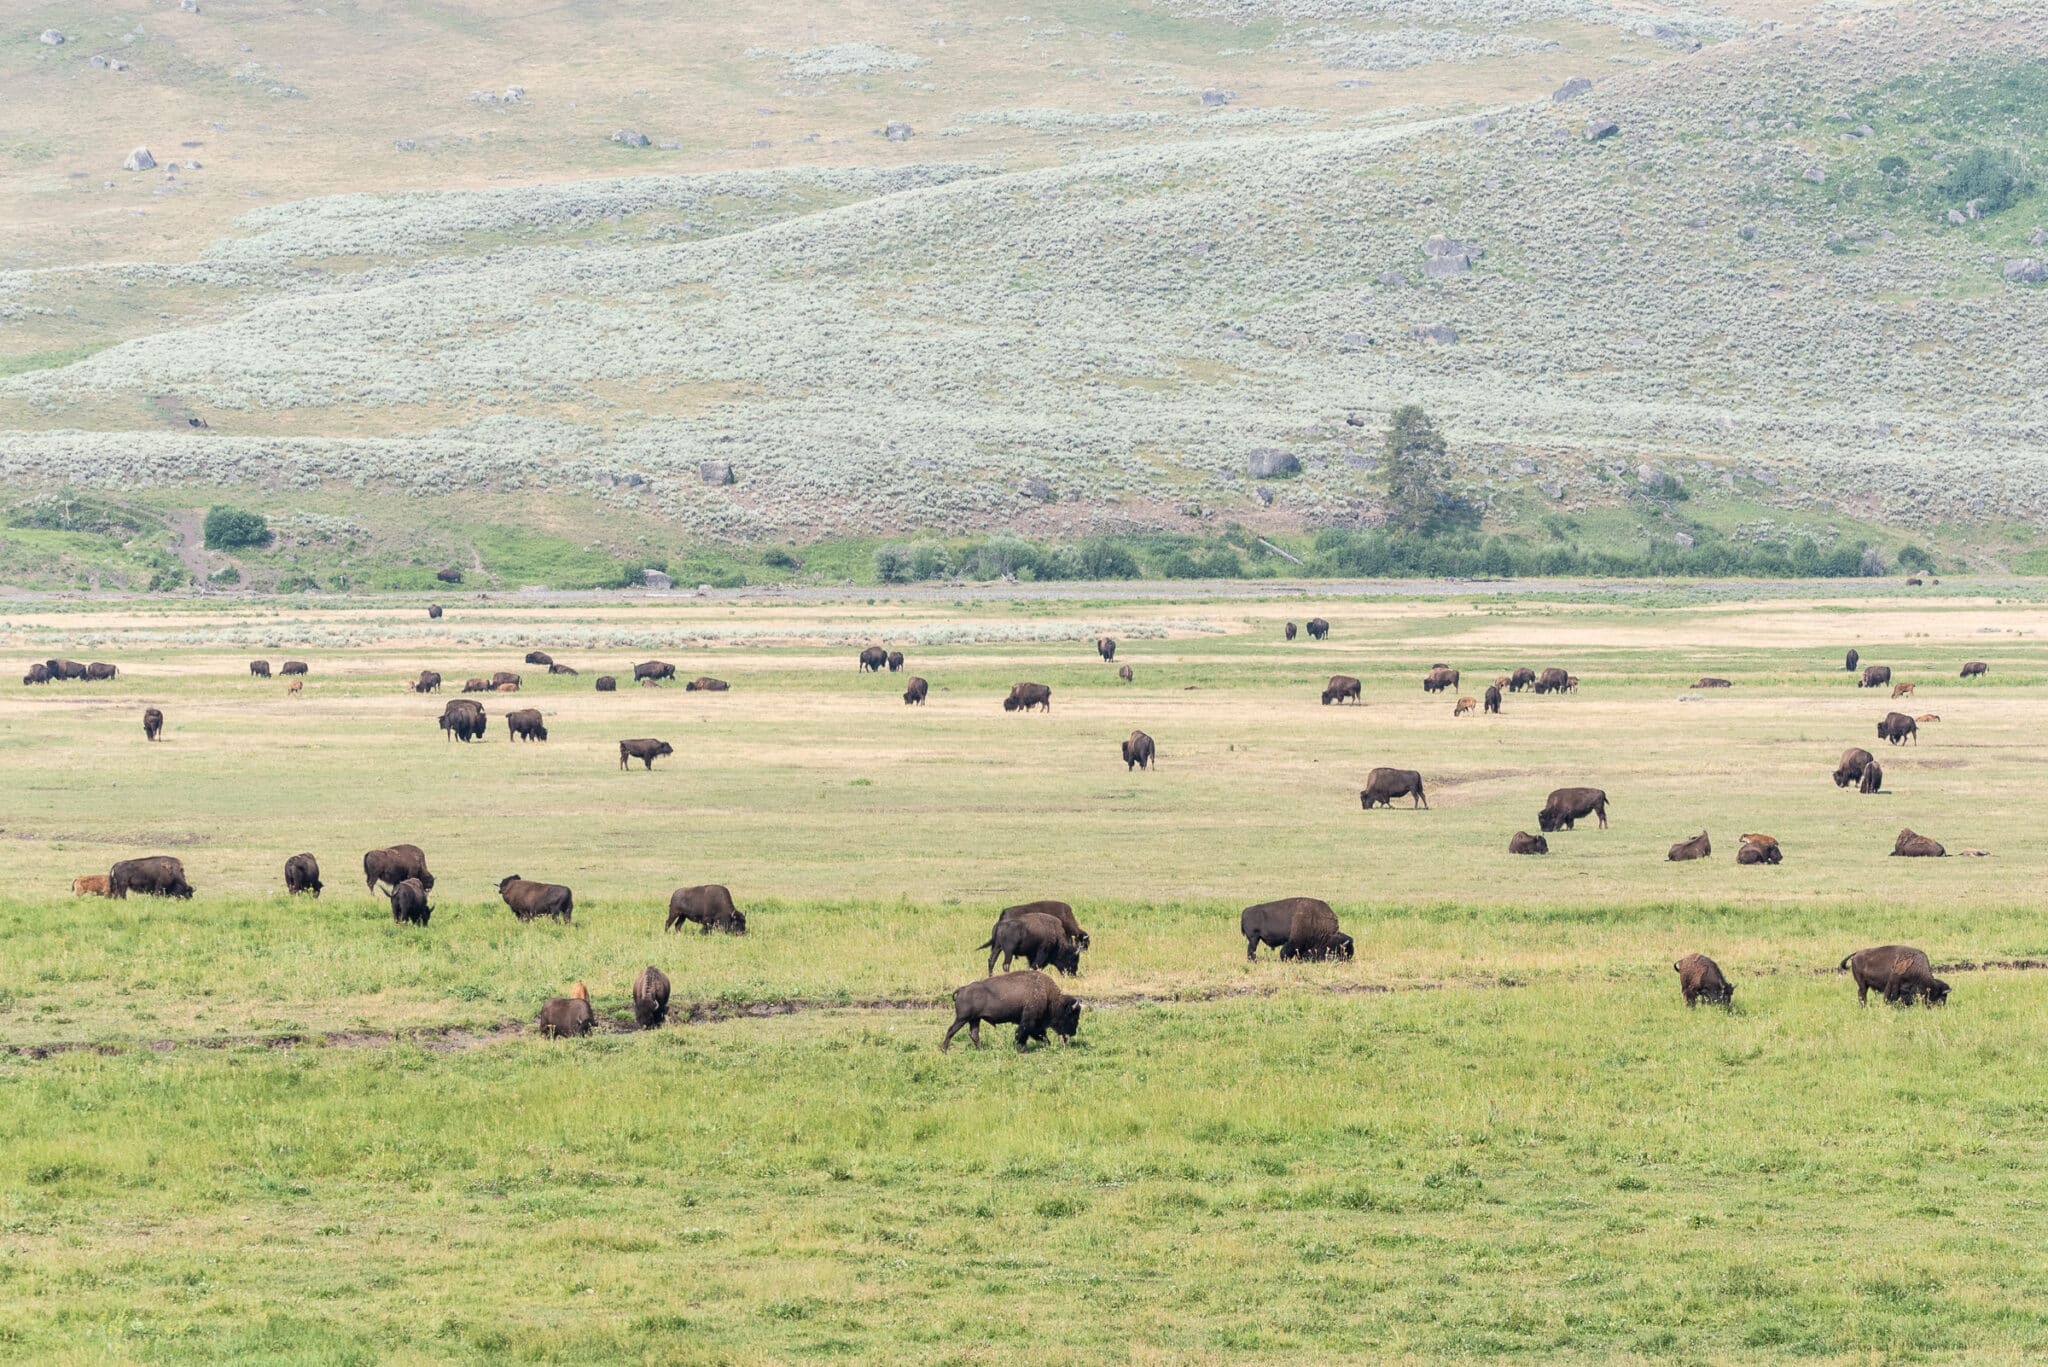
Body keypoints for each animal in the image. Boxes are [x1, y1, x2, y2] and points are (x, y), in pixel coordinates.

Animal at [942, 971, 1082, 1052]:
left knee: (973, 1034)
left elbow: (1039, 1034)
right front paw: (1022, 1049)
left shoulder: (1035, 1024)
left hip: (974, 1019)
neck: (1048, 995)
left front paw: (1047, 1044)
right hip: (962, 1019)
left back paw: (982, 1049)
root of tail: (962, 989)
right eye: (1071, 1015)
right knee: (951, 1030)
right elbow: (1022, 1034)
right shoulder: (1029, 1020)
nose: (1073, 1032)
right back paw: (944, 1050)